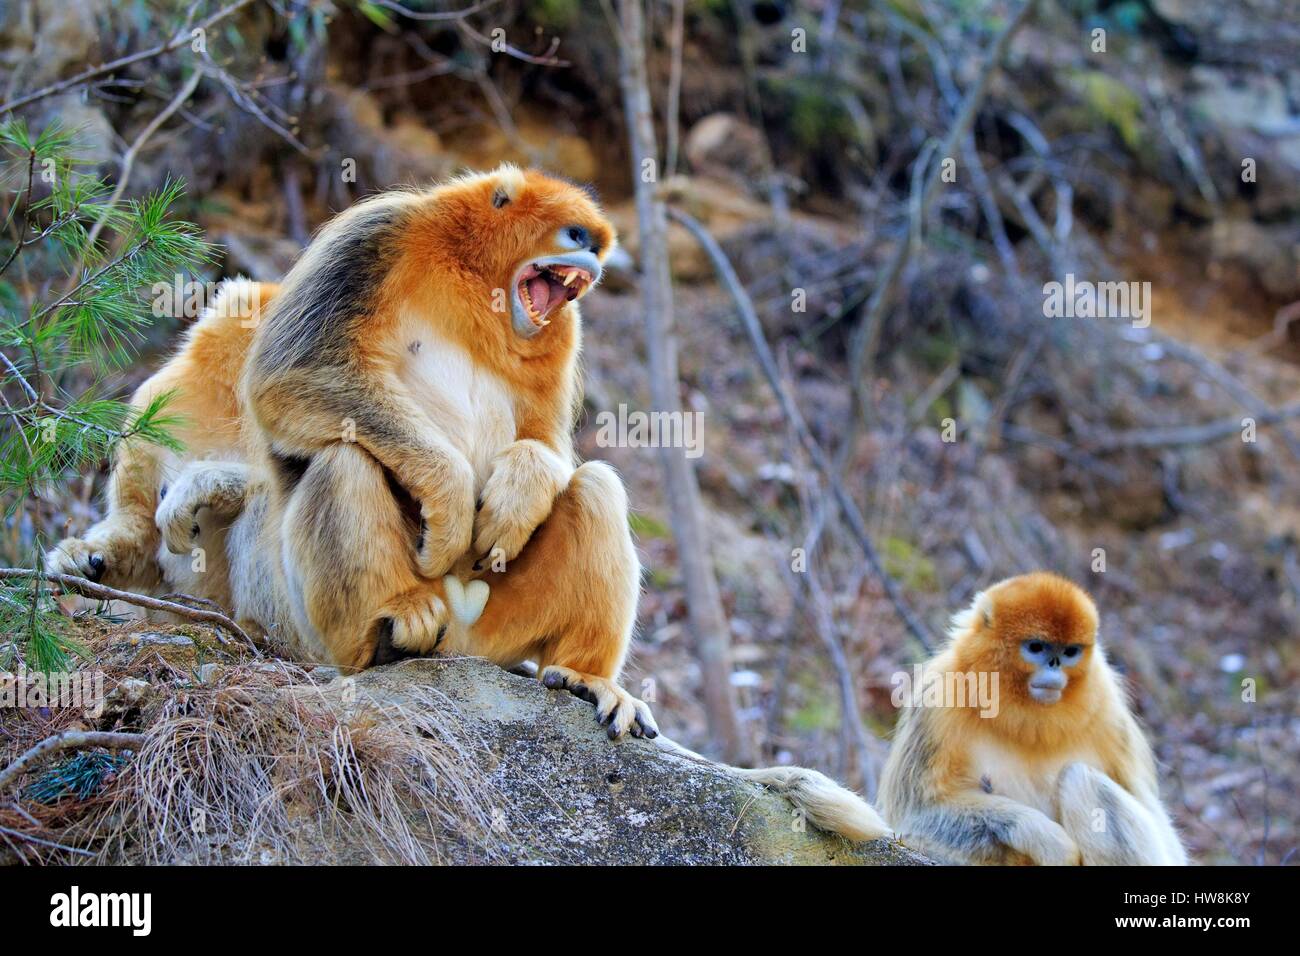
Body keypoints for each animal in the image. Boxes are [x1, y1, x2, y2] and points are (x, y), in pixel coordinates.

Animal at [878, 572, 1187, 865]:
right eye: (1037, 647)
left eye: (1069, 652)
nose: (1054, 665)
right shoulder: (940, 695)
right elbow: (914, 816)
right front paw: (1048, 840)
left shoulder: (1108, 706)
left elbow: (1165, 836)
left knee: (1080, 778)